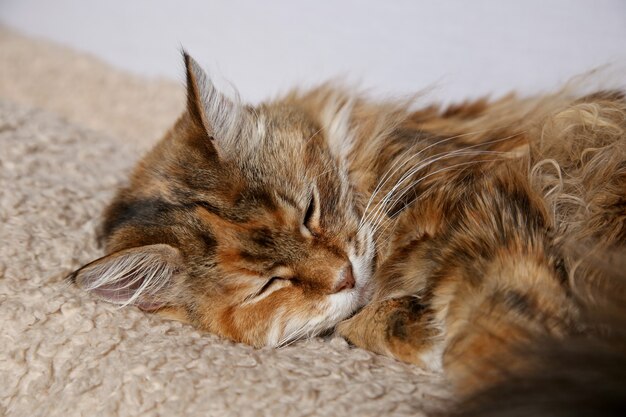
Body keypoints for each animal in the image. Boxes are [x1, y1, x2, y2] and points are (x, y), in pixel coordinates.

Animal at [68, 52, 624, 396]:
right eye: (269, 285)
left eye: (309, 212)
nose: (345, 277)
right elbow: (368, 323)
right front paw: (420, 333)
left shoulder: (491, 204)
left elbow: (503, 326)